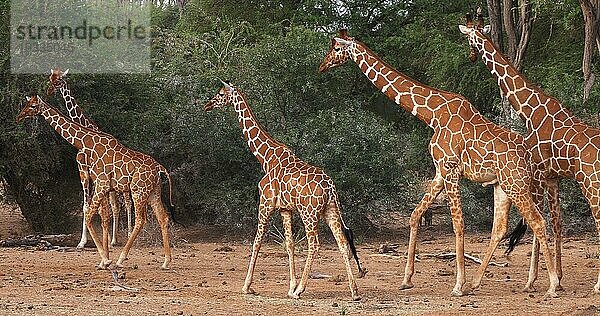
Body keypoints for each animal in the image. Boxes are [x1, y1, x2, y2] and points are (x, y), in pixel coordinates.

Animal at [15, 95, 173, 270]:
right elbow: (103, 217)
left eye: (33, 106)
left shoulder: (101, 184)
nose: (19, 117)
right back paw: (166, 262)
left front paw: (105, 259)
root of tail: (160, 169)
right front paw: (103, 260)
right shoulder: (102, 186)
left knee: (140, 219)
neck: (86, 143)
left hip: (139, 191)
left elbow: (90, 216)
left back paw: (121, 259)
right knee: (163, 218)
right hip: (153, 192)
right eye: (26, 103)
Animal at [47, 68, 134, 248]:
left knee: (127, 203)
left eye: (59, 80)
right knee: (116, 206)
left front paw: (86, 241)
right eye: (50, 78)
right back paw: (114, 240)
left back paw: (127, 234)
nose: (49, 91)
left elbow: (93, 206)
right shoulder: (85, 171)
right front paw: (85, 241)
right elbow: (88, 205)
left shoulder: (91, 173)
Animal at [204, 80, 364, 300]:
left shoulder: (265, 203)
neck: (265, 157)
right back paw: (354, 291)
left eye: (220, 93)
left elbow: (257, 241)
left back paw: (300, 290)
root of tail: (331, 187)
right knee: (341, 242)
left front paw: (247, 286)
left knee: (315, 244)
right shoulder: (285, 209)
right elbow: (290, 244)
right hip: (330, 209)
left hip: (309, 213)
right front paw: (290, 286)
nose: (207, 105)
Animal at [322, 29, 560, 296]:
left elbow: (458, 223)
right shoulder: (439, 172)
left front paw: (457, 284)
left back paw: (552, 284)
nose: (322, 66)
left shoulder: (451, 169)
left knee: (539, 222)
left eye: (336, 48)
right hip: (502, 186)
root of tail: (532, 157)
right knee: (500, 228)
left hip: (516, 183)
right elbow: (415, 215)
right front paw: (407, 279)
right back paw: (477, 282)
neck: (432, 114)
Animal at [464, 11, 600, 294]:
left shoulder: (537, 173)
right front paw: (557, 277)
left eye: (469, 38)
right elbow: (557, 223)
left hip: (591, 184)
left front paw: (533, 281)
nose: (470, 56)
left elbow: (537, 222)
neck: (531, 111)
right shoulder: (552, 177)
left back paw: (597, 286)